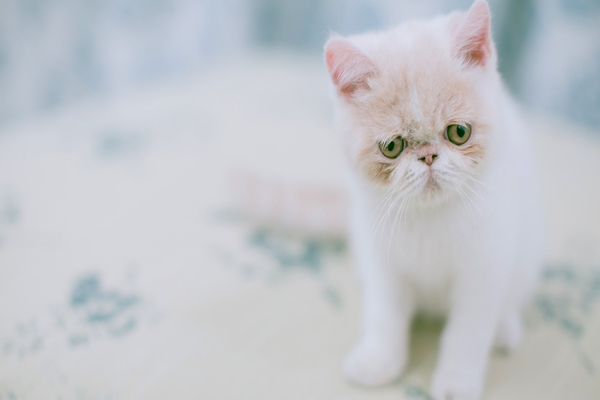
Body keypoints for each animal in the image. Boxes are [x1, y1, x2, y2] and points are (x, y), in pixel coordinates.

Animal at [324, 0, 544, 400]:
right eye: (392, 146)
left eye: (458, 132)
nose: (427, 156)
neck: (430, 219)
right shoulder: (381, 261)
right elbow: (385, 315)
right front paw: (378, 360)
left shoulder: (484, 268)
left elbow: (467, 334)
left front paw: (456, 382)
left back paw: (505, 329)